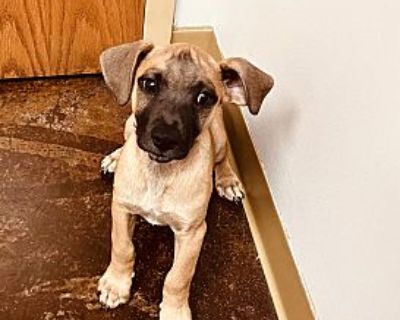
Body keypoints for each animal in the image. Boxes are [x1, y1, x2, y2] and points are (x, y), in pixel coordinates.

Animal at [97, 40, 272, 320]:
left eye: (204, 98)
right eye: (149, 84)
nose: (164, 139)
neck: (160, 172)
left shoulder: (193, 233)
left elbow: (178, 277)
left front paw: (174, 311)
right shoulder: (122, 209)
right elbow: (123, 248)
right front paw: (116, 285)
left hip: (218, 137)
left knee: (223, 158)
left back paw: (227, 180)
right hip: (129, 124)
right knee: (127, 139)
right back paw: (116, 157)